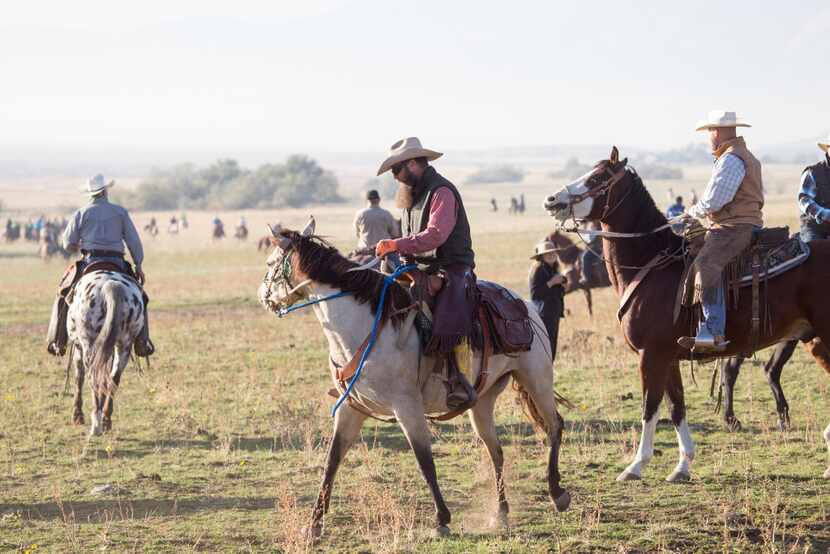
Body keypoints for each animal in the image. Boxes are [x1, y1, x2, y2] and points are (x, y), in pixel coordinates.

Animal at [69, 268, 147, 436]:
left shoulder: (78, 348)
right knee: (114, 378)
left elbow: (79, 379)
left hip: (89, 344)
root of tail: (109, 286)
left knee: (94, 378)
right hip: (124, 345)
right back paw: (106, 420)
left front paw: (77, 416)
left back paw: (96, 424)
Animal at [260, 217, 572, 536]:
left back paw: (557, 493)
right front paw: (313, 524)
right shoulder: (351, 407)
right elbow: (332, 461)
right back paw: (500, 512)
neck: (367, 327)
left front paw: (442, 519)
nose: (263, 296)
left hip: (537, 380)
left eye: (271, 262)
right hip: (482, 401)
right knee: (496, 450)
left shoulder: (407, 407)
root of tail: (525, 306)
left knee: (554, 427)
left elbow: (425, 461)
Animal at [544, 146, 830, 478]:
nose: (552, 200)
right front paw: (682, 465)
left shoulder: (651, 355)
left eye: (597, 178)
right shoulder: (668, 357)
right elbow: (676, 407)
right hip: (814, 340)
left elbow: (650, 407)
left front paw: (636, 465)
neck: (650, 265)